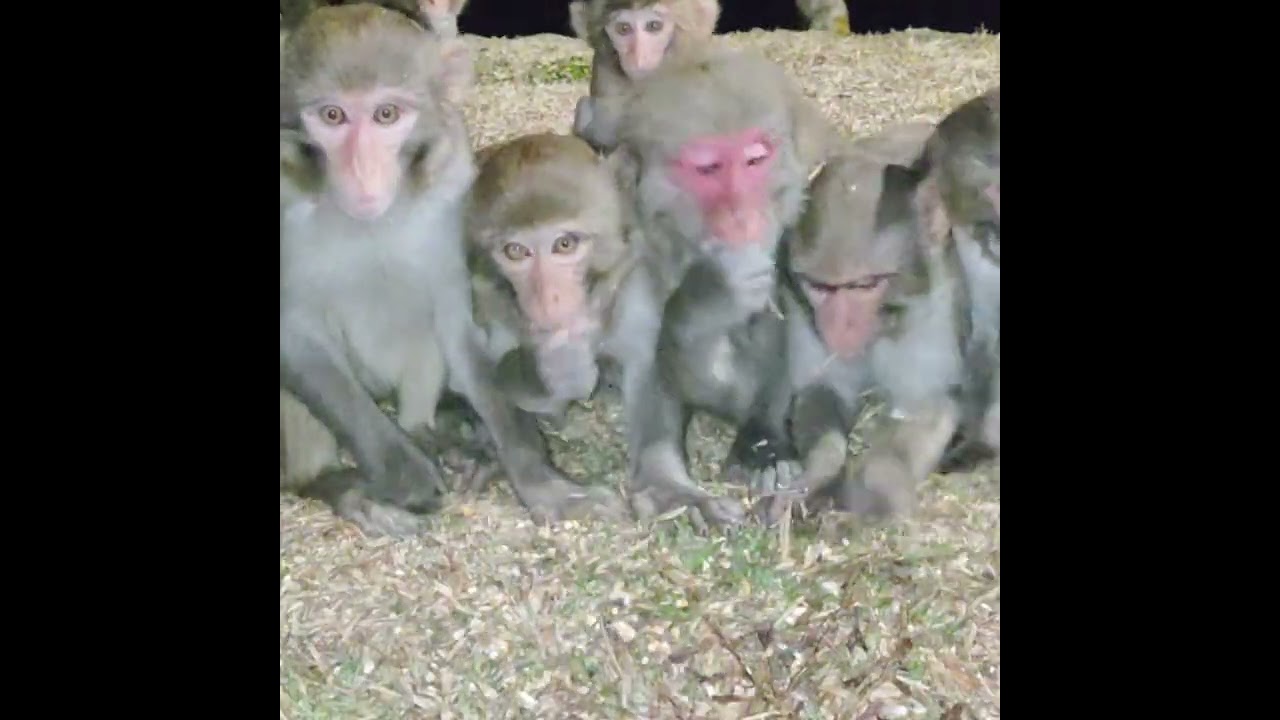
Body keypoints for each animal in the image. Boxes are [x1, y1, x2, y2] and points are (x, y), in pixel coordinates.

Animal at [280, 3, 624, 536]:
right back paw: (337, 483)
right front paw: (402, 475)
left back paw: (433, 431)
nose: (361, 171)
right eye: (332, 115)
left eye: (386, 114)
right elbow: (294, 331)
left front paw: (542, 482)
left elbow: (459, 321)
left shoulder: (451, 188)